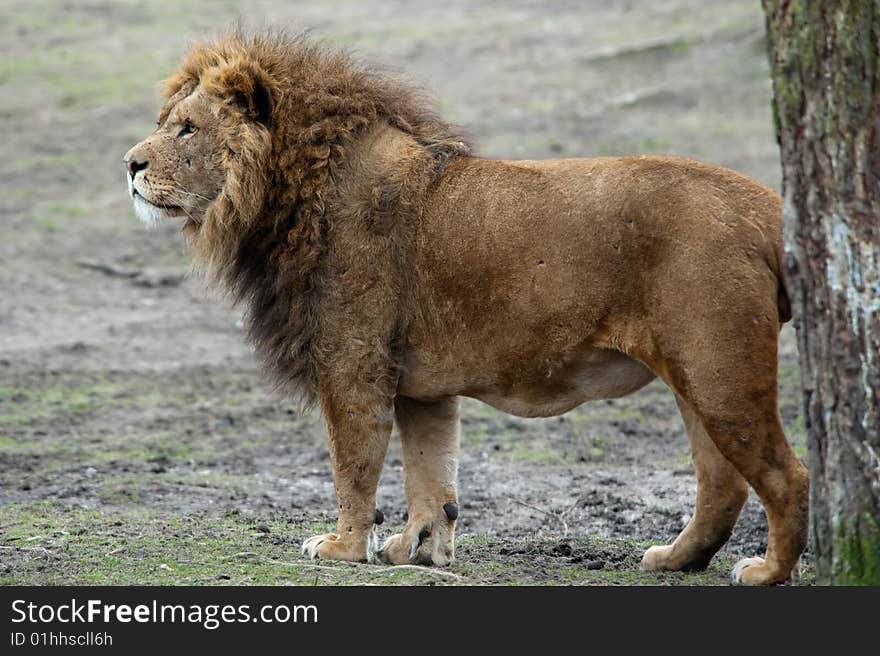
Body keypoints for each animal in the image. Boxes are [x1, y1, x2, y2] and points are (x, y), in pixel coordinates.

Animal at [125, 30, 812, 588]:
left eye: (187, 128)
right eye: (167, 120)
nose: (130, 164)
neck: (283, 197)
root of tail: (764, 203)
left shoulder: (353, 364)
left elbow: (354, 464)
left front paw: (343, 547)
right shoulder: (421, 386)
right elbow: (431, 475)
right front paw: (419, 550)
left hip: (720, 370)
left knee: (788, 475)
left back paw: (766, 571)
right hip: (696, 373)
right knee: (722, 481)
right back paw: (675, 559)